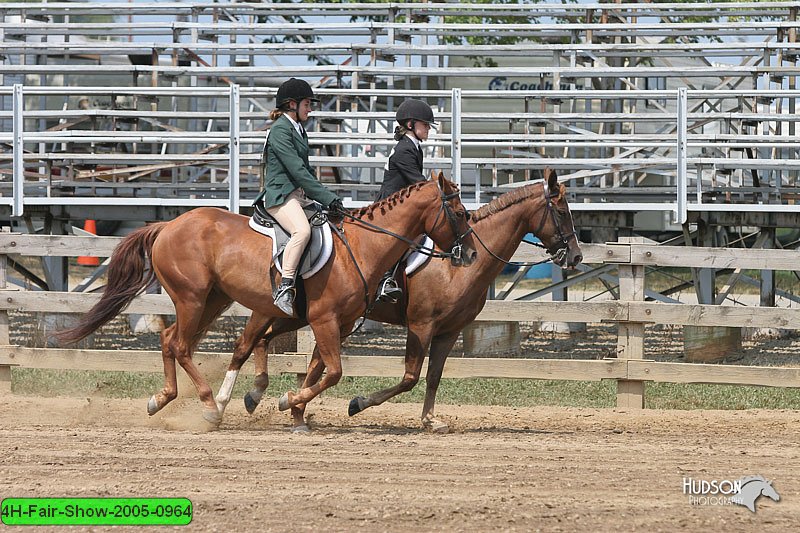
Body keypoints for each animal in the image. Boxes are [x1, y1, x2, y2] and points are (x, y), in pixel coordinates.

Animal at [61, 177, 482, 426]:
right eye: (461, 213)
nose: (470, 255)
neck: (363, 247)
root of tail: (168, 225)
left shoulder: (338, 324)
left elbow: (316, 368)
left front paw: (290, 407)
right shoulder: (324, 319)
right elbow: (332, 372)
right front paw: (286, 401)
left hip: (212, 301)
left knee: (171, 342)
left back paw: (162, 399)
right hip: (192, 298)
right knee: (179, 345)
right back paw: (209, 406)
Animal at [230, 168, 580, 430]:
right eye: (562, 212)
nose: (575, 256)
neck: (452, 270)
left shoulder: (448, 331)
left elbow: (434, 377)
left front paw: (430, 419)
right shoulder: (421, 325)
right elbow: (410, 377)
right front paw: (358, 403)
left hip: (300, 316)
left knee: (264, 341)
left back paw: (265, 399)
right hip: (279, 311)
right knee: (249, 342)